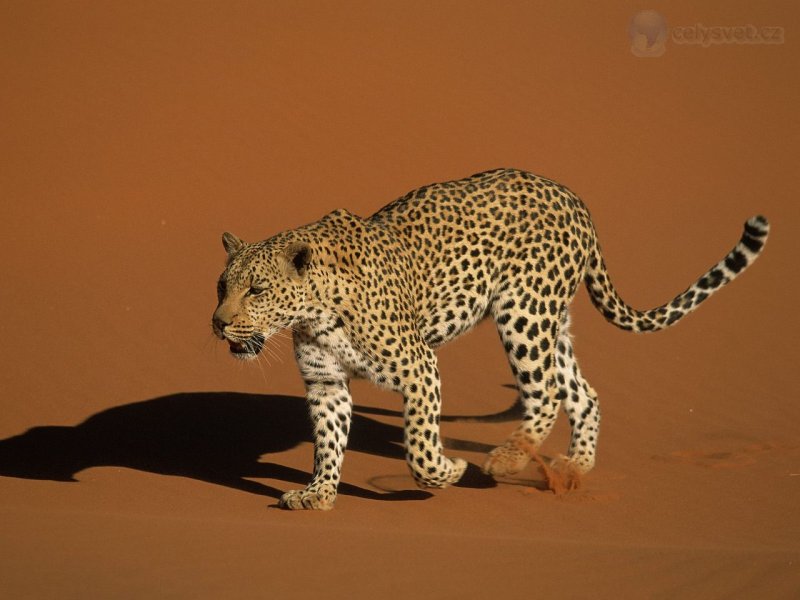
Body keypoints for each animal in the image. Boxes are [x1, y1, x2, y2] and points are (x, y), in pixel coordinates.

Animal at [211, 168, 769, 510]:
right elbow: (328, 443)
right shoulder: (325, 383)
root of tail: (574, 198)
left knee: (545, 393)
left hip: (523, 313)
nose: (218, 323)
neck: (314, 310)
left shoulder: (419, 367)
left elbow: (419, 446)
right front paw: (319, 493)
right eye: (222, 286)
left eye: (256, 289)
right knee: (582, 393)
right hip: (551, 323)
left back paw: (507, 458)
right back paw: (574, 467)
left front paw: (447, 471)